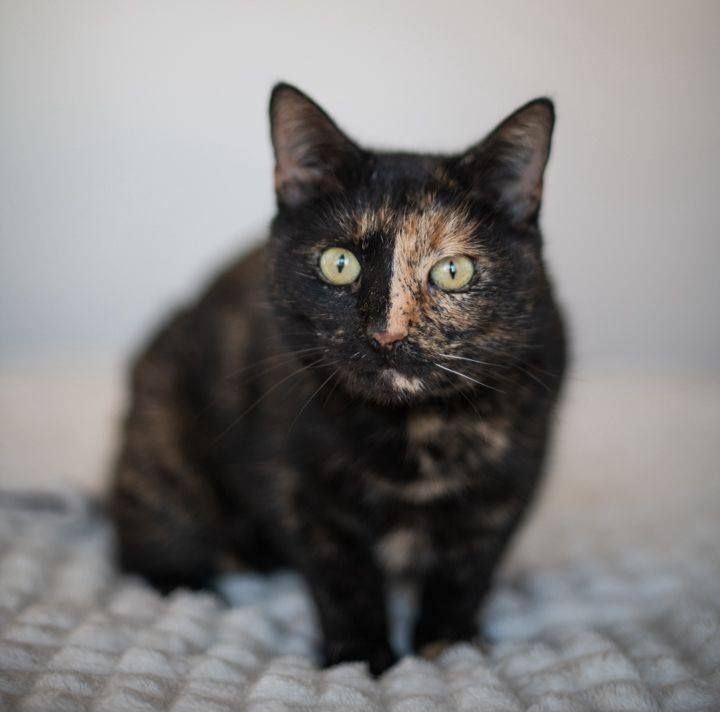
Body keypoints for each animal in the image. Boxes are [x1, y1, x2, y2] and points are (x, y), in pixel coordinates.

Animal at [109, 83, 567, 676]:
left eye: (453, 270)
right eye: (339, 263)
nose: (387, 333)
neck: (412, 433)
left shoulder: (504, 490)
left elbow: (465, 572)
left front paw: (450, 648)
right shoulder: (308, 491)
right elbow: (343, 577)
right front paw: (361, 660)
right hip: (160, 430)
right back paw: (198, 588)